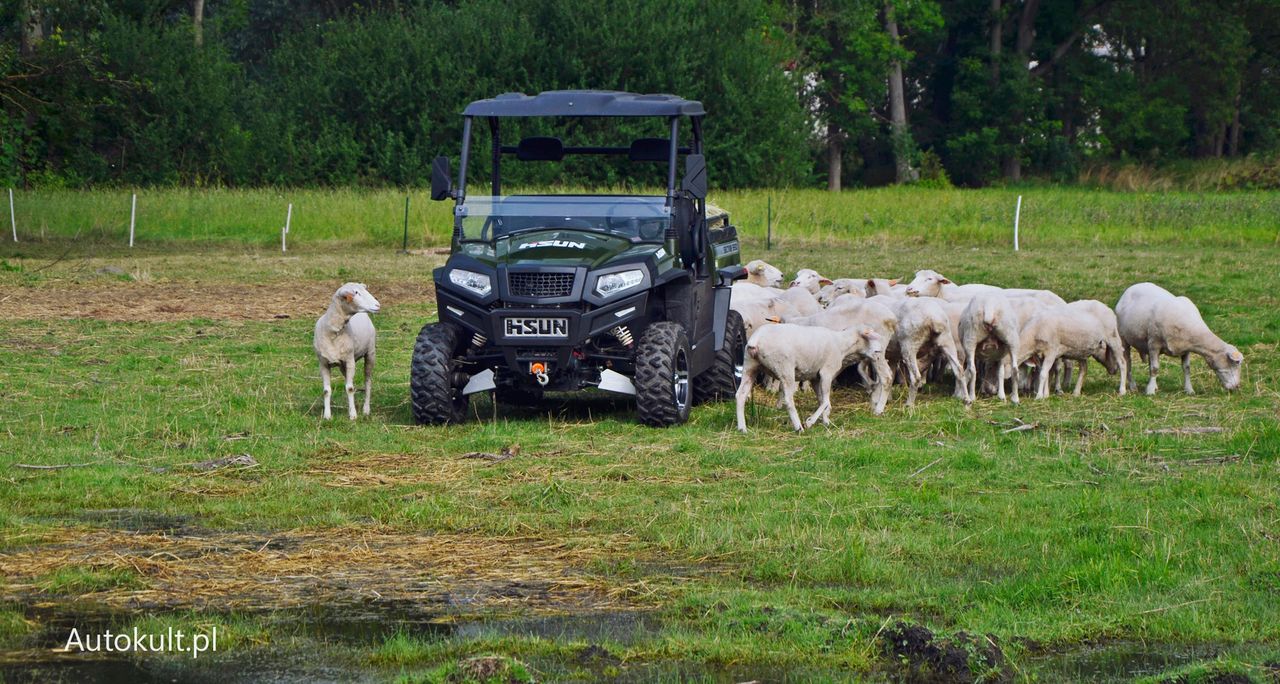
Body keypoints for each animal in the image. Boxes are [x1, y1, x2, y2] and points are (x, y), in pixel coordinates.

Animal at [313, 281, 378, 420]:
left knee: (367, 381)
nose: (377, 305)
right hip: (343, 365)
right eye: (356, 292)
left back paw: (366, 409)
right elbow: (326, 390)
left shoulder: (350, 360)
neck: (333, 332)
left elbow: (349, 388)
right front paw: (327, 416)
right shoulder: (323, 363)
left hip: (370, 353)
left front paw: (353, 415)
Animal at [737, 324, 885, 432]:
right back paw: (798, 427)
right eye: (872, 338)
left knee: (740, 395)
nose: (879, 356)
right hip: (785, 368)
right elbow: (826, 400)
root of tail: (756, 340)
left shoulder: (815, 377)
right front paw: (810, 422)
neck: (842, 344)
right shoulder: (827, 372)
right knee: (788, 400)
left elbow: (822, 400)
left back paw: (742, 428)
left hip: (750, 366)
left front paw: (826, 421)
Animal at [1116, 281, 1244, 394]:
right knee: (1128, 363)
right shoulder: (1154, 344)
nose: (1236, 386)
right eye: (1235, 363)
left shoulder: (1186, 349)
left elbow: (1186, 368)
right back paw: (1133, 386)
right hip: (1124, 339)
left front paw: (1189, 390)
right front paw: (1150, 391)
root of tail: (1133, 287)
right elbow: (1155, 368)